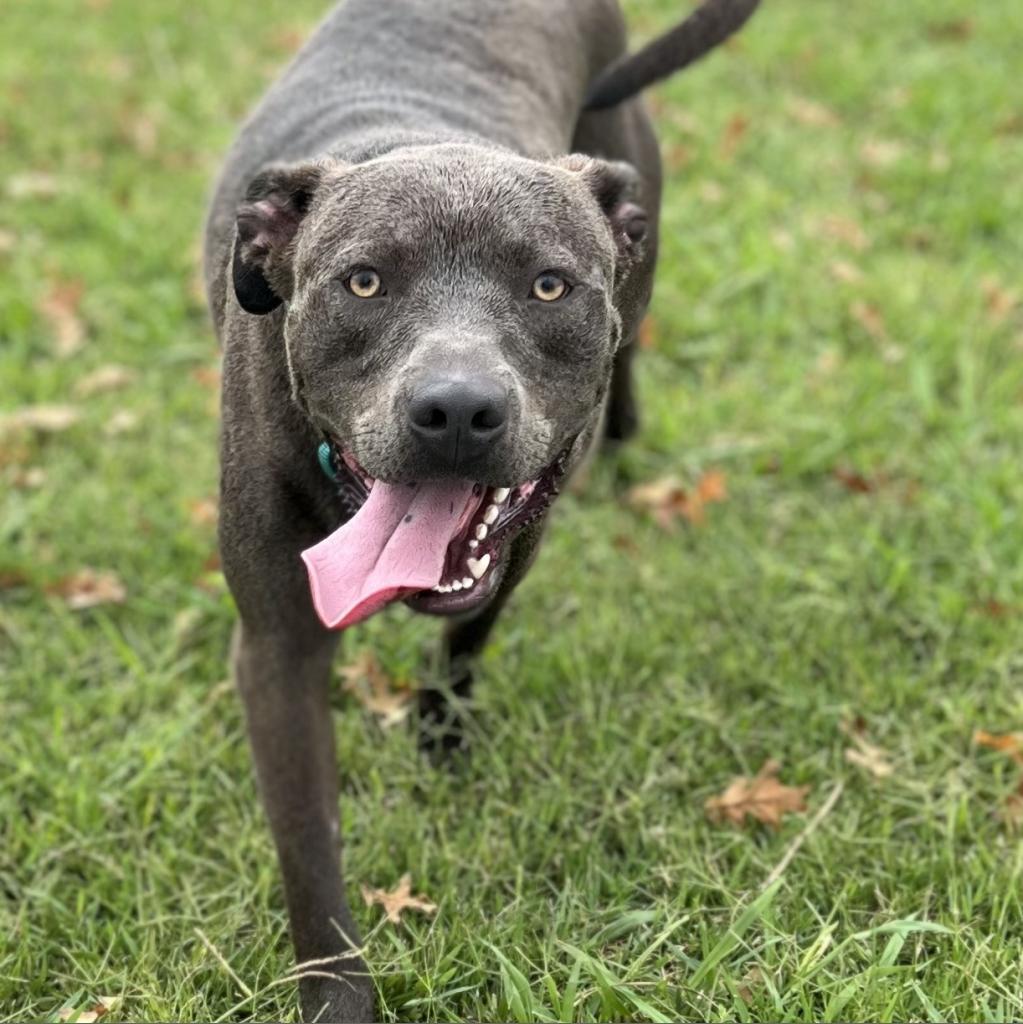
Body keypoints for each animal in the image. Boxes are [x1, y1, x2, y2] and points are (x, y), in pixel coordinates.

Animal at [201, 0, 761, 1015]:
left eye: (548, 284)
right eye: (363, 281)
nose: (456, 410)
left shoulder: (515, 549)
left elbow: (467, 635)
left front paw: (441, 737)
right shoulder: (276, 649)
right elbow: (311, 855)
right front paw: (337, 1001)